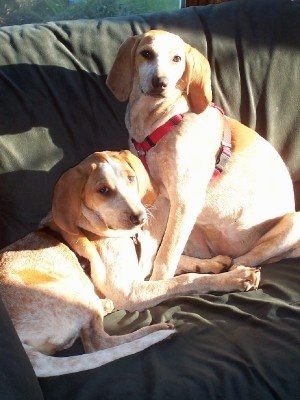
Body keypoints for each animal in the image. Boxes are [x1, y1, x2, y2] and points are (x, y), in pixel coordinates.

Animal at [0, 150, 176, 378]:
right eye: (103, 190)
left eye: (131, 178)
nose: (140, 217)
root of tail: (29, 356)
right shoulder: (130, 290)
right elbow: (182, 280)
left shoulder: (139, 270)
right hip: (76, 293)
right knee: (98, 343)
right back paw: (158, 329)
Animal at [106, 29, 300, 280]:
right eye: (146, 53)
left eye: (177, 59)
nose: (161, 83)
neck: (159, 123)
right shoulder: (162, 202)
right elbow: (155, 254)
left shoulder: (184, 201)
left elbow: (164, 259)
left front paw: (158, 284)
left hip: (291, 223)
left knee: (245, 258)